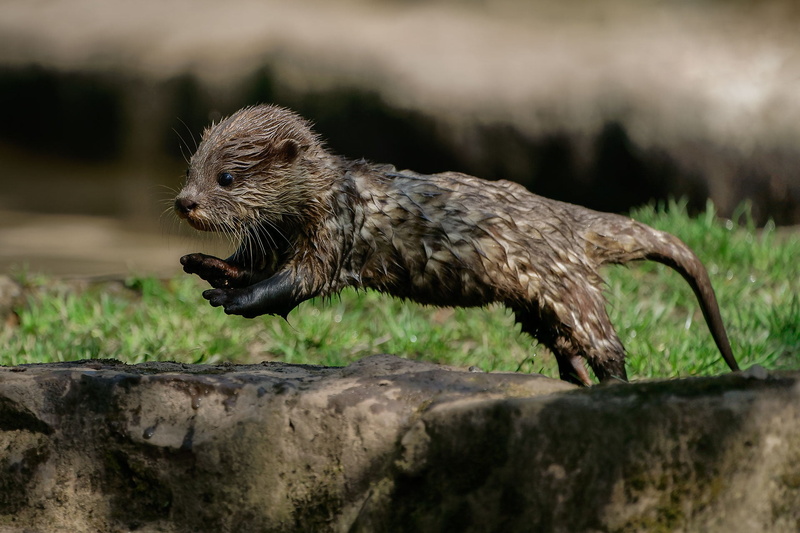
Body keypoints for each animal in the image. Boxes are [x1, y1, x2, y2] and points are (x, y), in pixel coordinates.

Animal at [174, 104, 739, 386]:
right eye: (190, 168)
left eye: (226, 177)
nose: (185, 203)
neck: (326, 195)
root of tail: (568, 217)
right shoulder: (276, 237)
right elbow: (252, 264)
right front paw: (206, 265)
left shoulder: (332, 232)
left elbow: (295, 284)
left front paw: (233, 297)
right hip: (535, 304)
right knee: (562, 342)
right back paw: (571, 379)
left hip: (569, 287)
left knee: (606, 344)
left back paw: (613, 386)